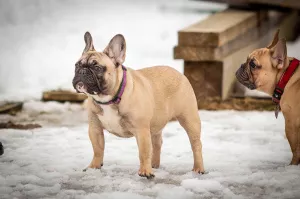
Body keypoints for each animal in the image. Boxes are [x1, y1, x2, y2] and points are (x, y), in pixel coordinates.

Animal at [72, 31, 205, 178]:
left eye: (97, 67)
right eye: (76, 65)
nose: (82, 71)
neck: (109, 98)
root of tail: (179, 73)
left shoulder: (141, 130)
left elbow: (144, 152)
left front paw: (145, 171)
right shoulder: (95, 128)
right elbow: (97, 149)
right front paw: (94, 167)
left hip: (189, 120)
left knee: (196, 145)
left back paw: (198, 168)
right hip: (156, 123)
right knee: (157, 143)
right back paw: (154, 164)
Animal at [236, 29, 300, 166]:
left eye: (253, 64)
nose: (242, 65)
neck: (285, 77)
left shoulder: (291, 123)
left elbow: (295, 149)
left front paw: (293, 165)